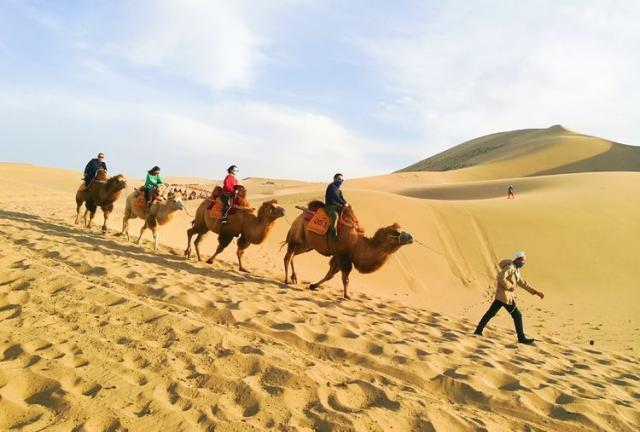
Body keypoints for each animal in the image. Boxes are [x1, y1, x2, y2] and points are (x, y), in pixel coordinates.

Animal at [282, 202, 412, 296]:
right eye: (397, 232)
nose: (411, 237)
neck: (357, 243)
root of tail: (300, 215)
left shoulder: (340, 256)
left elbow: (330, 274)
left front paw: (313, 285)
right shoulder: (344, 256)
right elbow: (345, 278)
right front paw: (346, 295)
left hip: (307, 245)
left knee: (294, 254)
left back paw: (294, 278)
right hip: (296, 234)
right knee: (288, 256)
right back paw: (286, 280)